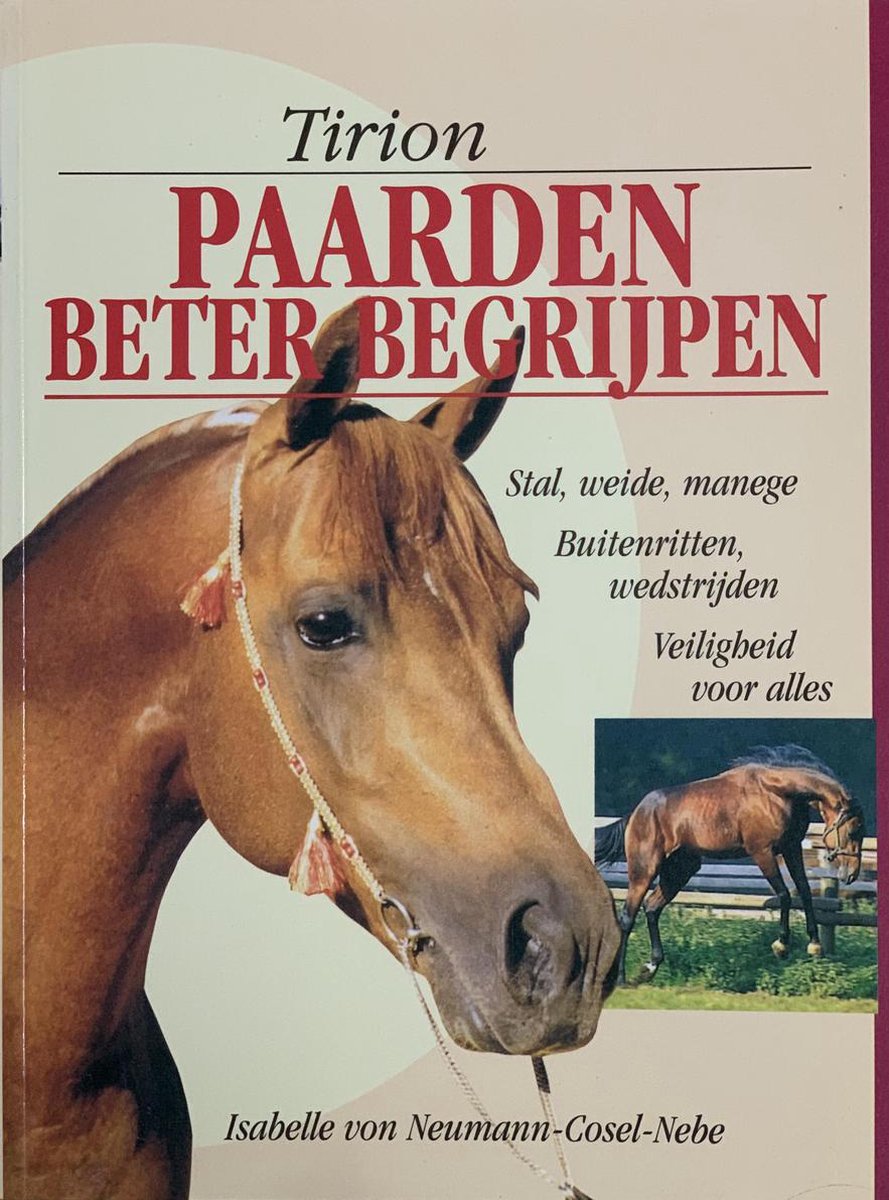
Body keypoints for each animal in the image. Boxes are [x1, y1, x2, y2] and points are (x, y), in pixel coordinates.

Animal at [594, 746, 865, 985]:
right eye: (853, 831)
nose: (851, 875)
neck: (776, 792)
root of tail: (635, 814)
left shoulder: (791, 848)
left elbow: (806, 893)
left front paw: (815, 945)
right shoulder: (762, 852)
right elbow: (784, 895)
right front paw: (781, 946)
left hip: (680, 871)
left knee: (651, 908)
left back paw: (649, 968)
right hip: (644, 871)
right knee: (627, 918)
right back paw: (621, 979)